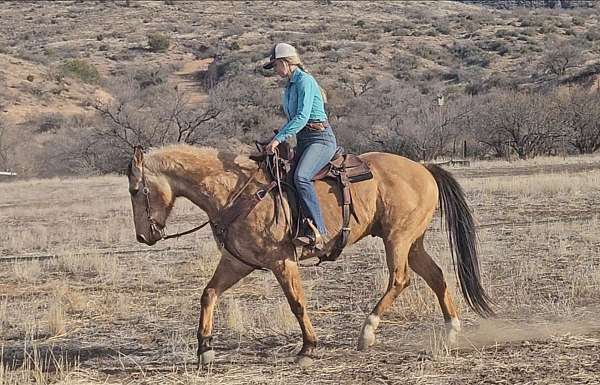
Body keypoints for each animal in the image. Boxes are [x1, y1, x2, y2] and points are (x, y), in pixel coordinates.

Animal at [126, 143, 492, 364]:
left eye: (135, 190)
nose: (144, 236)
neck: (235, 192)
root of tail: (424, 168)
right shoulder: (237, 262)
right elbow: (209, 294)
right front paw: (205, 350)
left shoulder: (282, 261)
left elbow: (297, 303)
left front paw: (308, 348)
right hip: (413, 242)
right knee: (436, 276)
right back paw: (451, 330)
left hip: (398, 239)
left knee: (400, 280)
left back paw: (367, 332)